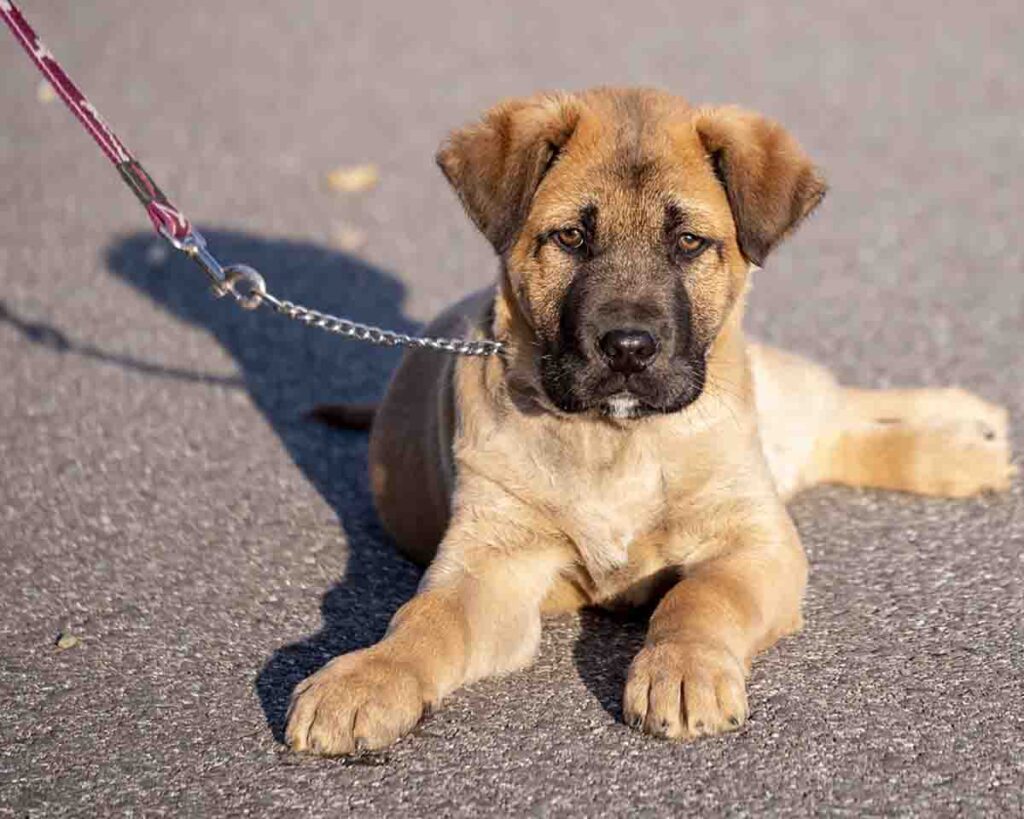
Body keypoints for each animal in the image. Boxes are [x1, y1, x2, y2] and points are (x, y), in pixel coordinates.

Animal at [284, 84, 1011, 753]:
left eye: (688, 241)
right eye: (570, 237)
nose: (629, 349)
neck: (617, 437)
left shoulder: (753, 540)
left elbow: (698, 599)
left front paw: (682, 669)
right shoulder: (491, 561)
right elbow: (424, 618)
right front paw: (368, 677)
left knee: (838, 408)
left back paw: (968, 434)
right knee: (835, 435)